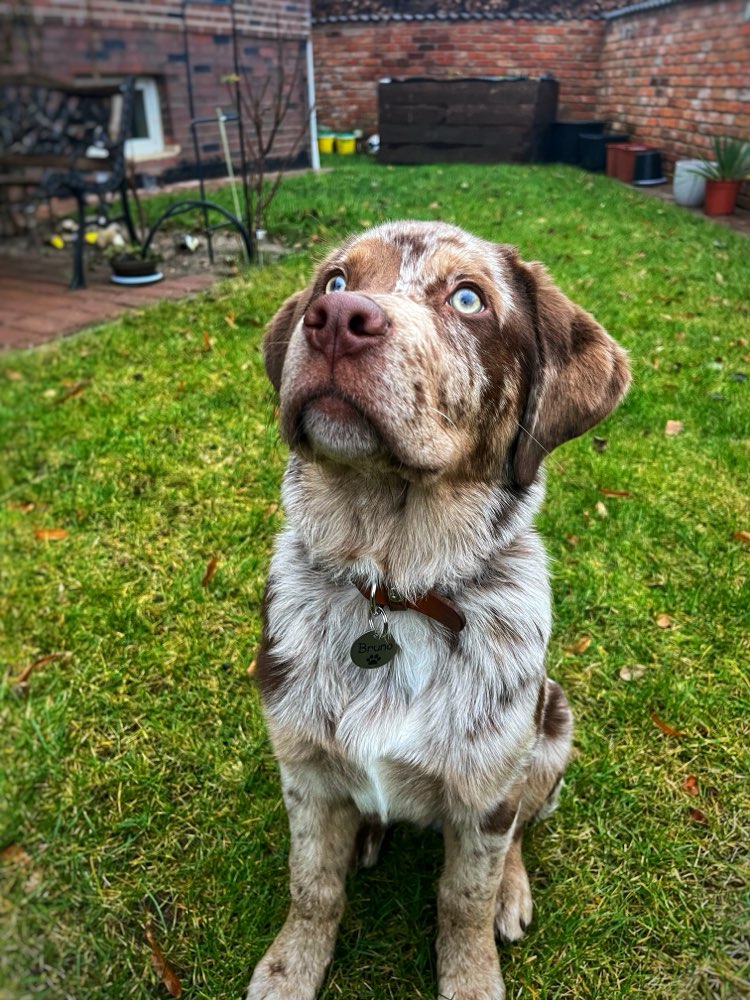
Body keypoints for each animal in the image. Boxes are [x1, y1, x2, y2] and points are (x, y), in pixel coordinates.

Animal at [250, 221, 632, 1000]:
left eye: (468, 299)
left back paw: (512, 891)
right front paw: (289, 968)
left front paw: (473, 976)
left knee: (520, 832)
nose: (336, 319)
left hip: (552, 726)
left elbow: (463, 898)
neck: (393, 587)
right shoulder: (303, 770)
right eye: (335, 280)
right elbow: (312, 887)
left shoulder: (486, 793)